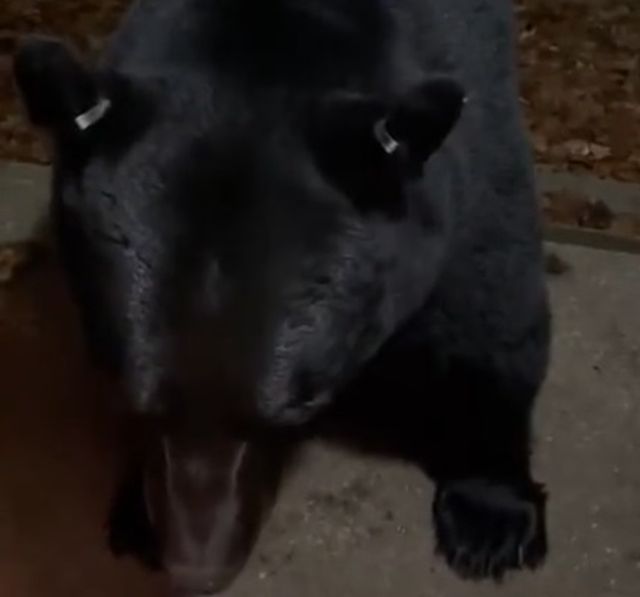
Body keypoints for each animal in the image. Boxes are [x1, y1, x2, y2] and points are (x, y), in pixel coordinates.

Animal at [13, 0, 551, 594]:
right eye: (140, 400)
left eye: (292, 411)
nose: (200, 570)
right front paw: (137, 509)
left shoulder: (470, 159)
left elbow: (491, 318)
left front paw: (490, 516)